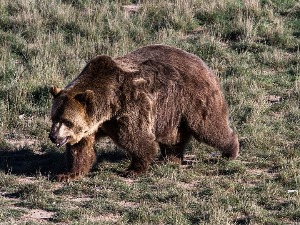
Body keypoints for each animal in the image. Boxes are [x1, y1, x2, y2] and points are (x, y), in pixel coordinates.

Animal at [48, 44, 239, 181]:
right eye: (54, 118)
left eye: (67, 121)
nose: (53, 136)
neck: (107, 108)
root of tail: (202, 63)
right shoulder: (92, 126)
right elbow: (80, 149)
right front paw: (68, 174)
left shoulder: (128, 106)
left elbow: (137, 139)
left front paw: (133, 169)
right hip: (171, 111)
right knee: (173, 137)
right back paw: (170, 158)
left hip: (193, 98)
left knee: (209, 127)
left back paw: (230, 151)